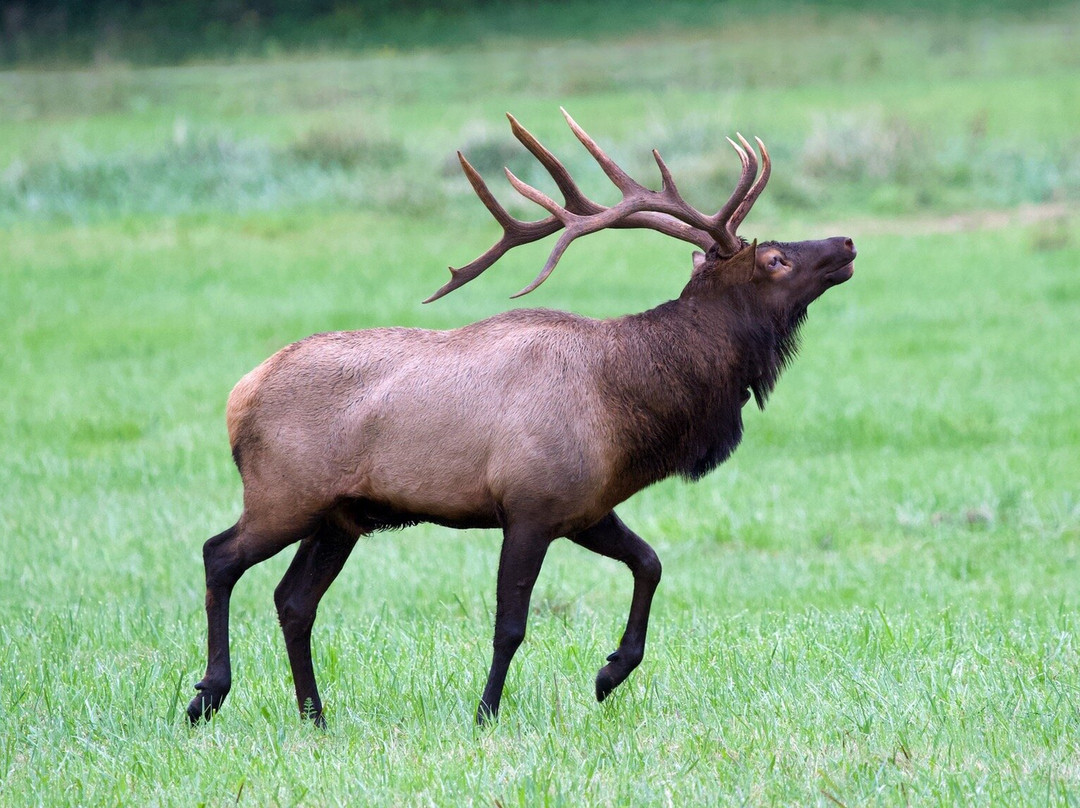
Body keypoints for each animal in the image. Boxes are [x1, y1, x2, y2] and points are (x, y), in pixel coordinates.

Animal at [190, 109, 855, 725]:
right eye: (775, 259)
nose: (846, 243)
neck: (630, 408)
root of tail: (240, 394)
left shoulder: (585, 507)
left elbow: (650, 563)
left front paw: (610, 672)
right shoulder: (528, 506)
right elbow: (510, 625)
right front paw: (486, 712)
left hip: (340, 516)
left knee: (294, 600)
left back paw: (314, 714)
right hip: (284, 494)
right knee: (219, 555)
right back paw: (208, 694)